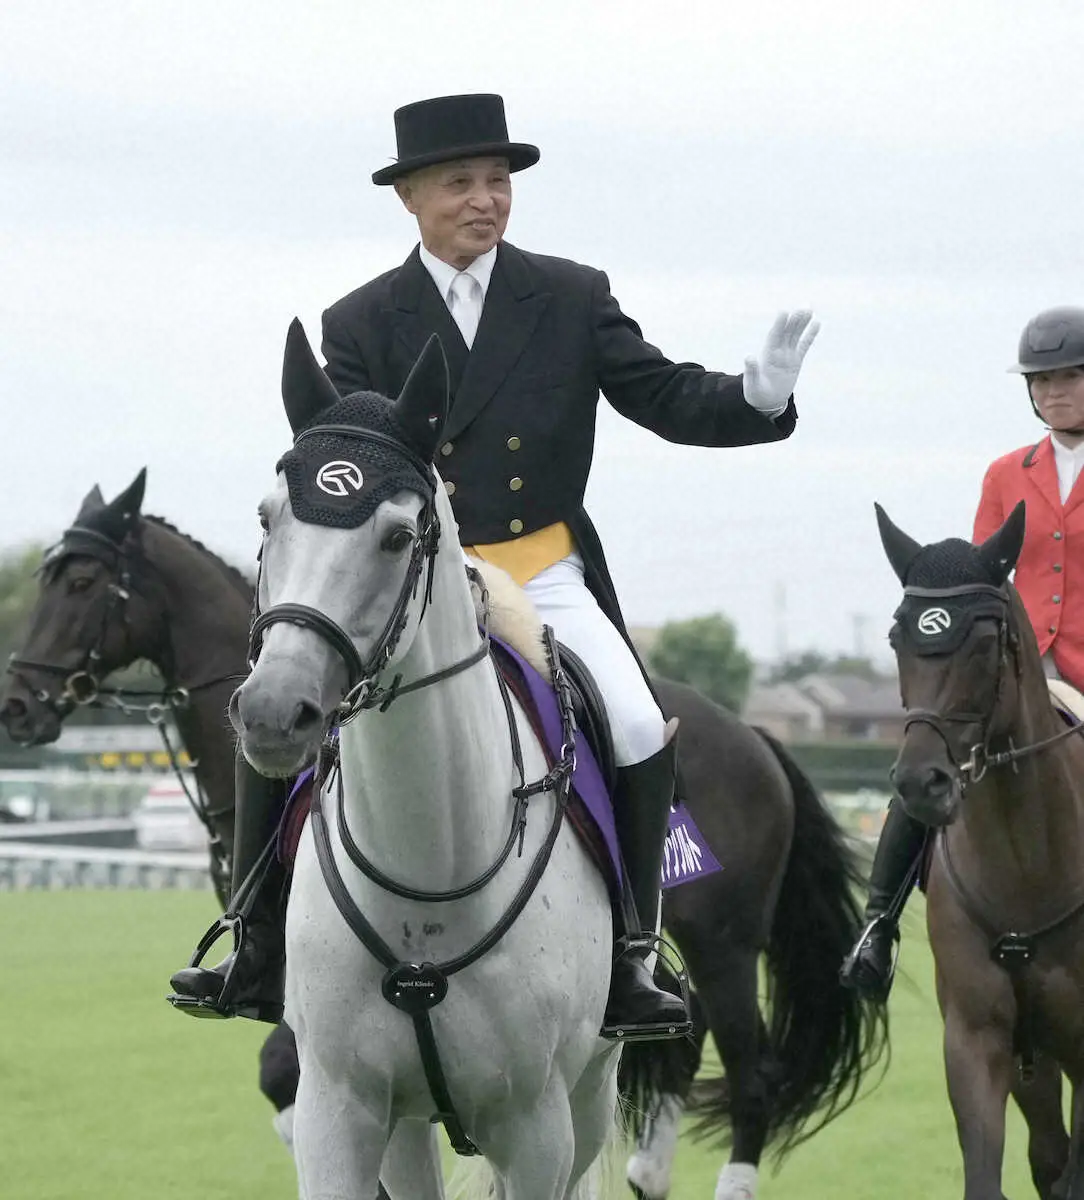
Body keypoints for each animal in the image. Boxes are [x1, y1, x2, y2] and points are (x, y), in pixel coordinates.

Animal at [0, 472, 888, 1195]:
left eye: (80, 581)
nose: (17, 703)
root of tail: (755, 738)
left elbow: (284, 1076)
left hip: (728, 945)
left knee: (748, 1071)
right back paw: (648, 1174)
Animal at [232, 319, 624, 1200]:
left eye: (396, 536)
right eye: (269, 520)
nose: (273, 711)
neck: (430, 866)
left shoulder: (536, 1130)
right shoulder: (337, 1110)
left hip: (589, 1096)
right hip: (407, 1123)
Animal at [878, 499, 1084, 1200]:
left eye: (985, 639)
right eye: (898, 638)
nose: (922, 784)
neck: (1027, 861)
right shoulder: (976, 1039)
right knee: (1049, 1154)